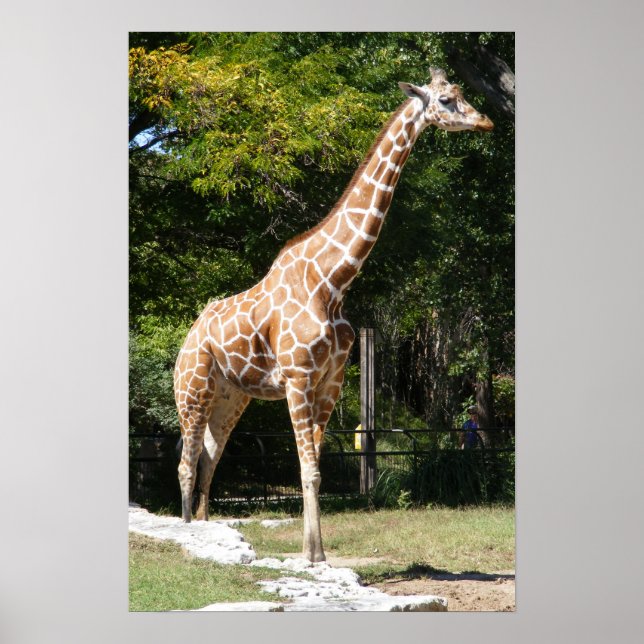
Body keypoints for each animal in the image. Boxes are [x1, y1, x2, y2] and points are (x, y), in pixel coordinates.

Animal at [174, 67, 493, 562]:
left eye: (461, 93)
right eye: (445, 100)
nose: (486, 122)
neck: (333, 280)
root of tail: (189, 337)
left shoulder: (330, 382)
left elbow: (316, 469)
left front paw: (312, 553)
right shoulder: (298, 378)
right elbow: (308, 470)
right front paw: (316, 557)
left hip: (231, 396)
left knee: (209, 456)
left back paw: (209, 529)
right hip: (192, 389)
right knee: (185, 462)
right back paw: (191, 534)